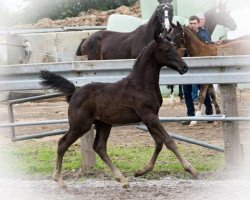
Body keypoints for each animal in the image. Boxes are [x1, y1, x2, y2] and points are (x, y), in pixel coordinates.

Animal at [40, 31, 198, 189]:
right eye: (166, 50)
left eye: (174, 47)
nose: (184, 67)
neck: (140, 85)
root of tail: (74, 92)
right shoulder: (149, 116)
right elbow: (168, 141)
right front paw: (192, 169)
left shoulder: (150, 117)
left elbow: (159, 142)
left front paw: (140, 171)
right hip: (80, 125)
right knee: (62, 143)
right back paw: (59, 180)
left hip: (103, 124)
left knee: (99, 147)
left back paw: (122, 179)